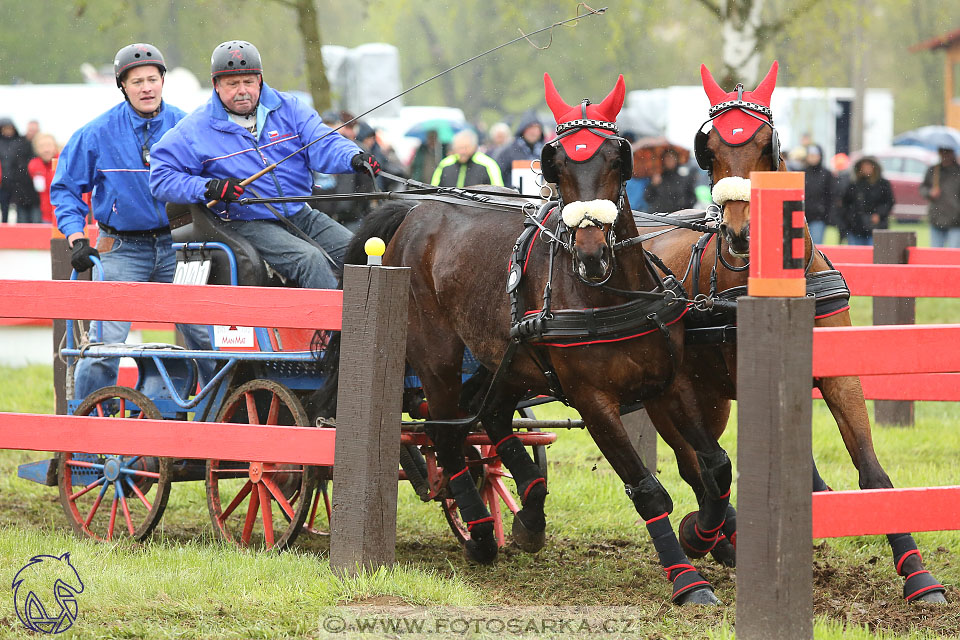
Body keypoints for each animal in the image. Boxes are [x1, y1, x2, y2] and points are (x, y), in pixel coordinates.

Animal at [320, 75, 720, 604]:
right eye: (559, 163)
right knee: (447, 434)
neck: (607, 293)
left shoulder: (669, 382)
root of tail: (414, 209)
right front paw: (687, 579)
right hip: (437, 354)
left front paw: (705, 532)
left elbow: (712, 464)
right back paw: (482, 532)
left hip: (507, 360)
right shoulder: (594, 402)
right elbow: (649, 490)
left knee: (487, 415)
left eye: (616, 158)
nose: (591, 253)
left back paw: (528, 508)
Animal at [640, 61, 948, 604]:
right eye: (710, 149)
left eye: (766, 143)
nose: (740, 232)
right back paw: (707, 536)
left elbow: (872, 472)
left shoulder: (840, 376)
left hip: (711, 399)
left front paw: (917, 574)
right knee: (695, 465)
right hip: (670, 393)